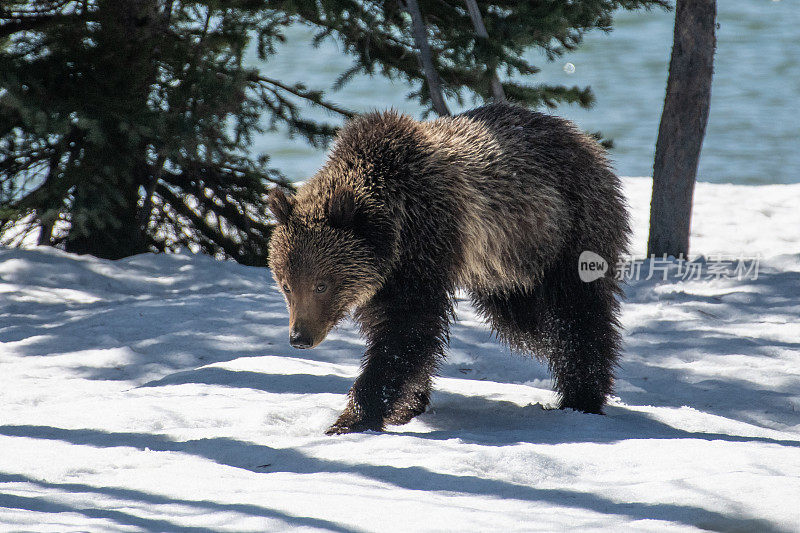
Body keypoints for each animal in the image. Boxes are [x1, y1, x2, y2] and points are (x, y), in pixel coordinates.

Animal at [268, 103, 632, 432]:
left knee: (577, 315)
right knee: (526, 319)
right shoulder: (390, 272)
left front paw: (353, 417)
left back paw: (581, 398)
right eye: (286, 285)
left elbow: (406, 331)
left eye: (321, 284)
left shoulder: (425, 245)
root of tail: (583, 137)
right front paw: (408, 404)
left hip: (572, 229)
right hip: (507, 268)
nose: (299, 337)